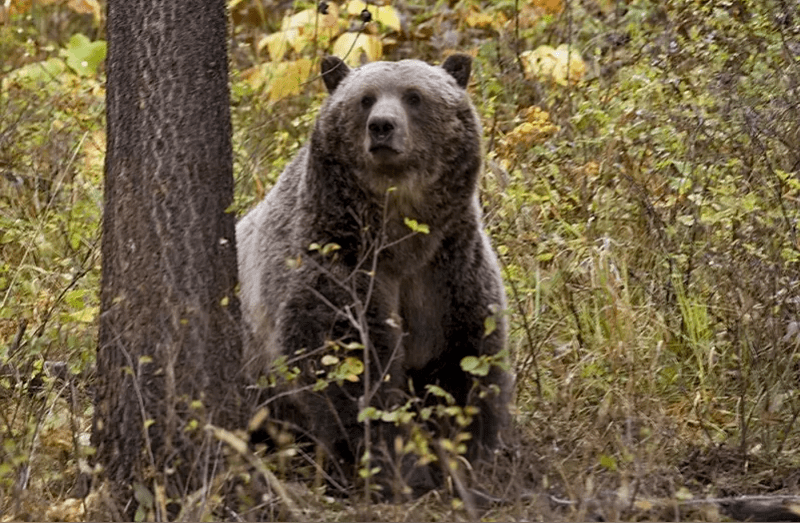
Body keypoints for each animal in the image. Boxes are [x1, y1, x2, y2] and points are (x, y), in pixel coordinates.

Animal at [234, 54, 510, 496]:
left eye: (414, 96)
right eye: (365, 99)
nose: (382, 126)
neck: (401, 237)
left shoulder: (448, 270)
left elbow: (465, 362)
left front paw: (465, 458)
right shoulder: (339, 259)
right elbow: (349, 364)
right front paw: (389, 467)